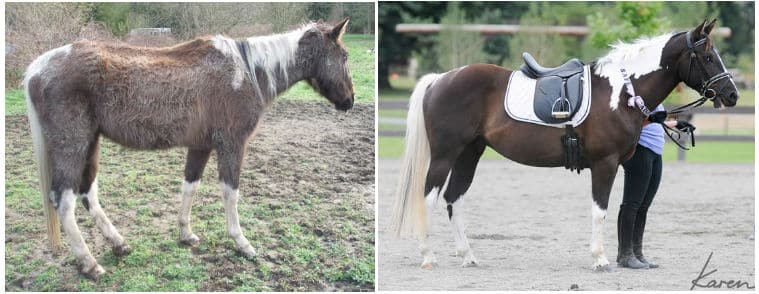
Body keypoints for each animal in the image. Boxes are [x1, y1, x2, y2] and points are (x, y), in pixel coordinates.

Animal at [26, 17, 354, 280]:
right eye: (345, 56)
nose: (350, 101)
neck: (246, 72)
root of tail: (37, 68)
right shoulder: (232, 144)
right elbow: (230, 192)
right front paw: (241, 242)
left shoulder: (201, 146)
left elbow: (190, 186)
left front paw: (185, 233)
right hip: (73, 146)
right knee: (64, 200)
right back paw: (89, 263)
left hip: (90, 145)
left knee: (87, 193)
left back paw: (119, 243)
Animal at [394, 19, 740, 272]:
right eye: (708, 57)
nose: (732, 94)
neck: (622, 93)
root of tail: (441, 78)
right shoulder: (605, 164)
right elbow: (600, 211)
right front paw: (600, 259)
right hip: (445, 155)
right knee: (428, 199)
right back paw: (428, 256)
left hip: (470, 154)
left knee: (454, 199)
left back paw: (467, 255)